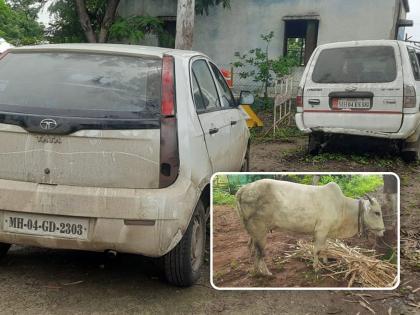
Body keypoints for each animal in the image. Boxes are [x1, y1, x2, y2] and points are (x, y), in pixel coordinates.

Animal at [235, 180, 386, 276]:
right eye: (377, 212)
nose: (383, 231)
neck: (343, 207)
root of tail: (243, 189)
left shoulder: (326, 232)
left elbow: (325, 248)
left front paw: (325, 261)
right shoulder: (321, 230)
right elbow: (317, 250)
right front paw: (316, 268)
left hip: (254, 232)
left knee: (253, 249)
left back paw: (256, 271)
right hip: (259, 230)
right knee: (259, 252)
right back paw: (265, 272)